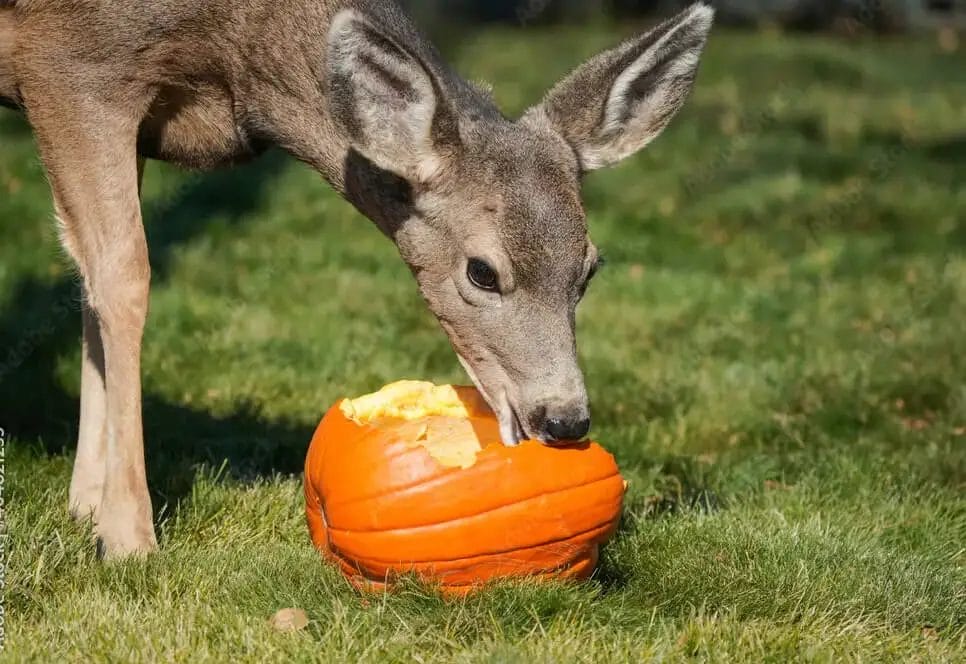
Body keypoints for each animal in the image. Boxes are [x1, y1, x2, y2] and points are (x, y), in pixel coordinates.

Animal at [0, 0, 712, 556]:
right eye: (482, 271)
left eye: (589, 268)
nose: (564, 419)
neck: (235, 60)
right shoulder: (73, 64)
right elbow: (124, 275)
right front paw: (127, 536)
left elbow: (88, 278)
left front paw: (85, 506)